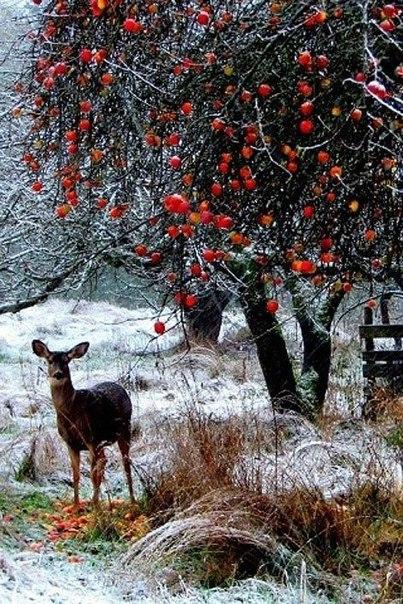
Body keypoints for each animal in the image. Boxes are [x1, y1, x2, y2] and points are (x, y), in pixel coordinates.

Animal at [31, 340, 136, 504]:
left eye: (66, 361)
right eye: (50, 360)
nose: (58, 374)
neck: (71, 413)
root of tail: (120, 387)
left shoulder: (90, 438)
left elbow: (92, 474)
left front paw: (95, 505)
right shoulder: (70, 443)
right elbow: (76, 474)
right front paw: (76, 504)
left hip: (124, 429)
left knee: (125, 462)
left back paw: (132, 500)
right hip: (102, 441)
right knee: (104, 460)